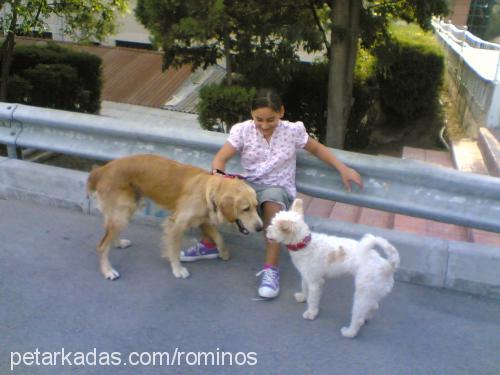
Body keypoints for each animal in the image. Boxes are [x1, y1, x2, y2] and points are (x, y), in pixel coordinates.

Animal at [87, 154, 264, 280]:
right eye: (246, 209)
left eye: (256, 206)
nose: (261, 228)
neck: (208, 190)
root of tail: (102, 170)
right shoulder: (177, 223)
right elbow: (174, 248)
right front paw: (177, 269)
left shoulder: (202, 220)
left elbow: (218, 236)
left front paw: (223, 252)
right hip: (123, 213)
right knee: (102, 245)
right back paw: (108, 270)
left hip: (124, 212)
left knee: (109, 232)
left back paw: (118, 243)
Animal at [268, 200, 400, 340]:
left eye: (273, 227)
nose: (266, 230)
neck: (305, 244)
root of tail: (389, 266)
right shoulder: (306, 276)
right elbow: (304, 287)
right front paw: (303, 296)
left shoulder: (316, 283)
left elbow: (313, 300)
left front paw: (311, 313)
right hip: (371, 293)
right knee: (374, 306)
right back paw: (366, 318)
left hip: (362, 296)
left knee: (358, 318)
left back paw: (349, 332)